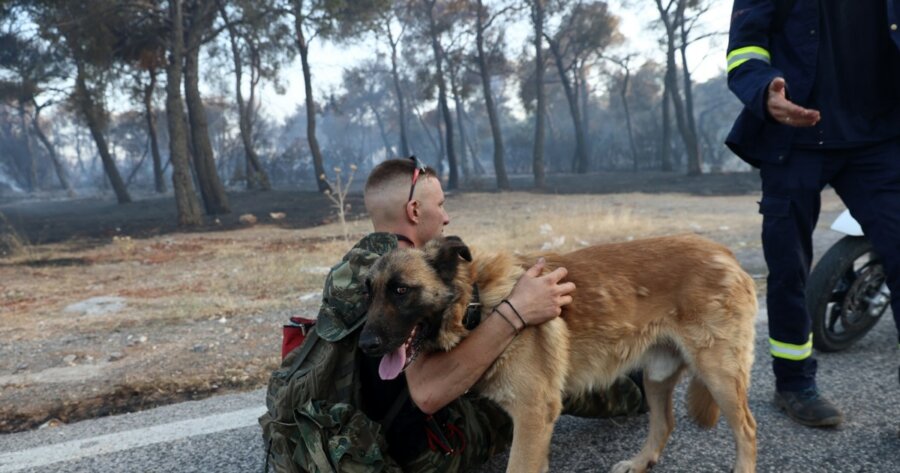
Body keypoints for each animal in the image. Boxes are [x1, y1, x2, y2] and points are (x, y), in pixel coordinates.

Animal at [358, 234, 760, 470]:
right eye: (368, 292)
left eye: (400, 290)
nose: (365, 346)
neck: (477, 306)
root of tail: (725, 253)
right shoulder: (534, 424)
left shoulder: (533, 415)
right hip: (657, 374)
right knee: (665, 423)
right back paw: (640, 462)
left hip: (719, 375)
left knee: (747, 430)